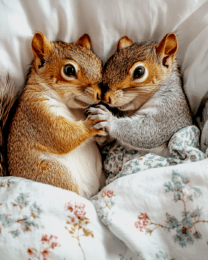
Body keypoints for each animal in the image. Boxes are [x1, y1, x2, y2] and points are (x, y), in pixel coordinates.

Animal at [7, 33, 106, 199]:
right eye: (69, 70)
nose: (101, 95)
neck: (73, 109)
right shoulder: (38, 115)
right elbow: (61, 136)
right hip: (56, 174)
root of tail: (89, 195)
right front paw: (91, 123)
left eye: (100, 64)